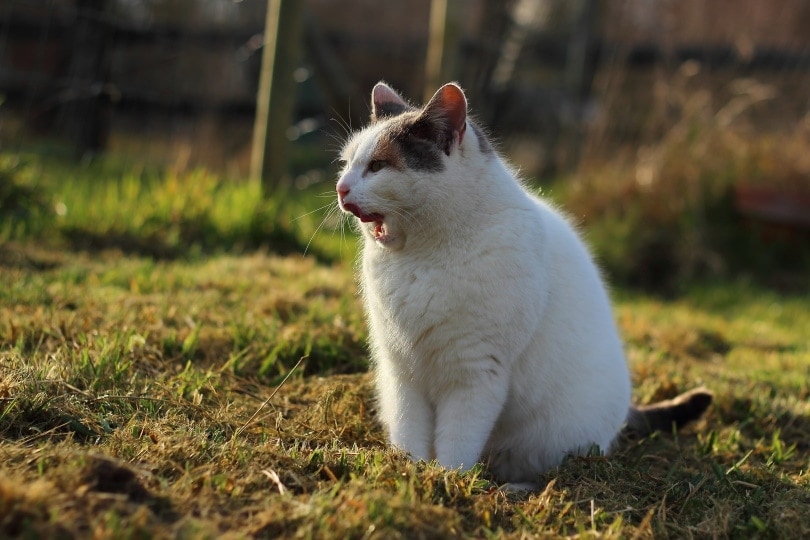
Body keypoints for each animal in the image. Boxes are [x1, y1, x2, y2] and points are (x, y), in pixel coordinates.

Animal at [332, 81, 708, 486]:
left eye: (377, 166)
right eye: (347, 163)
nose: (340, 188)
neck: (419, 259)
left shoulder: (476, 374)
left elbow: (457, 443)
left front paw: (446, 481)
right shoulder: (402, 372)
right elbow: (409, 432)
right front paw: (408, 473)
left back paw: (514, 488)